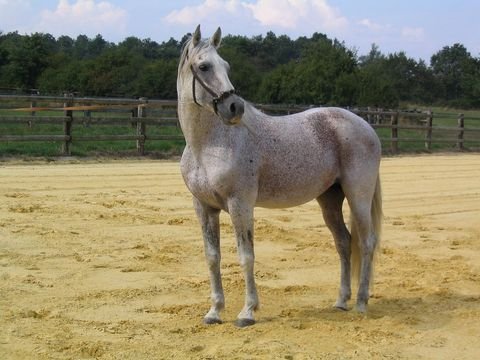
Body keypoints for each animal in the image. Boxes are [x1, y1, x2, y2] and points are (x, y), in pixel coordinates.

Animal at [176, 25, 382, 328]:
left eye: (226, 65)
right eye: (204, 66)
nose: (235, 107)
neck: (210, 145)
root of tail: (366, 126)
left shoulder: (240, 205)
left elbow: (246, 256)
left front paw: (247, 312)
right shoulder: (204, 207)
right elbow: (212, 257)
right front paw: (214, 311)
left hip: (358, 197)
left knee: (366, 243)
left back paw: (361, 303)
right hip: (330, 200)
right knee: (344, 243)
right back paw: (341, 301)